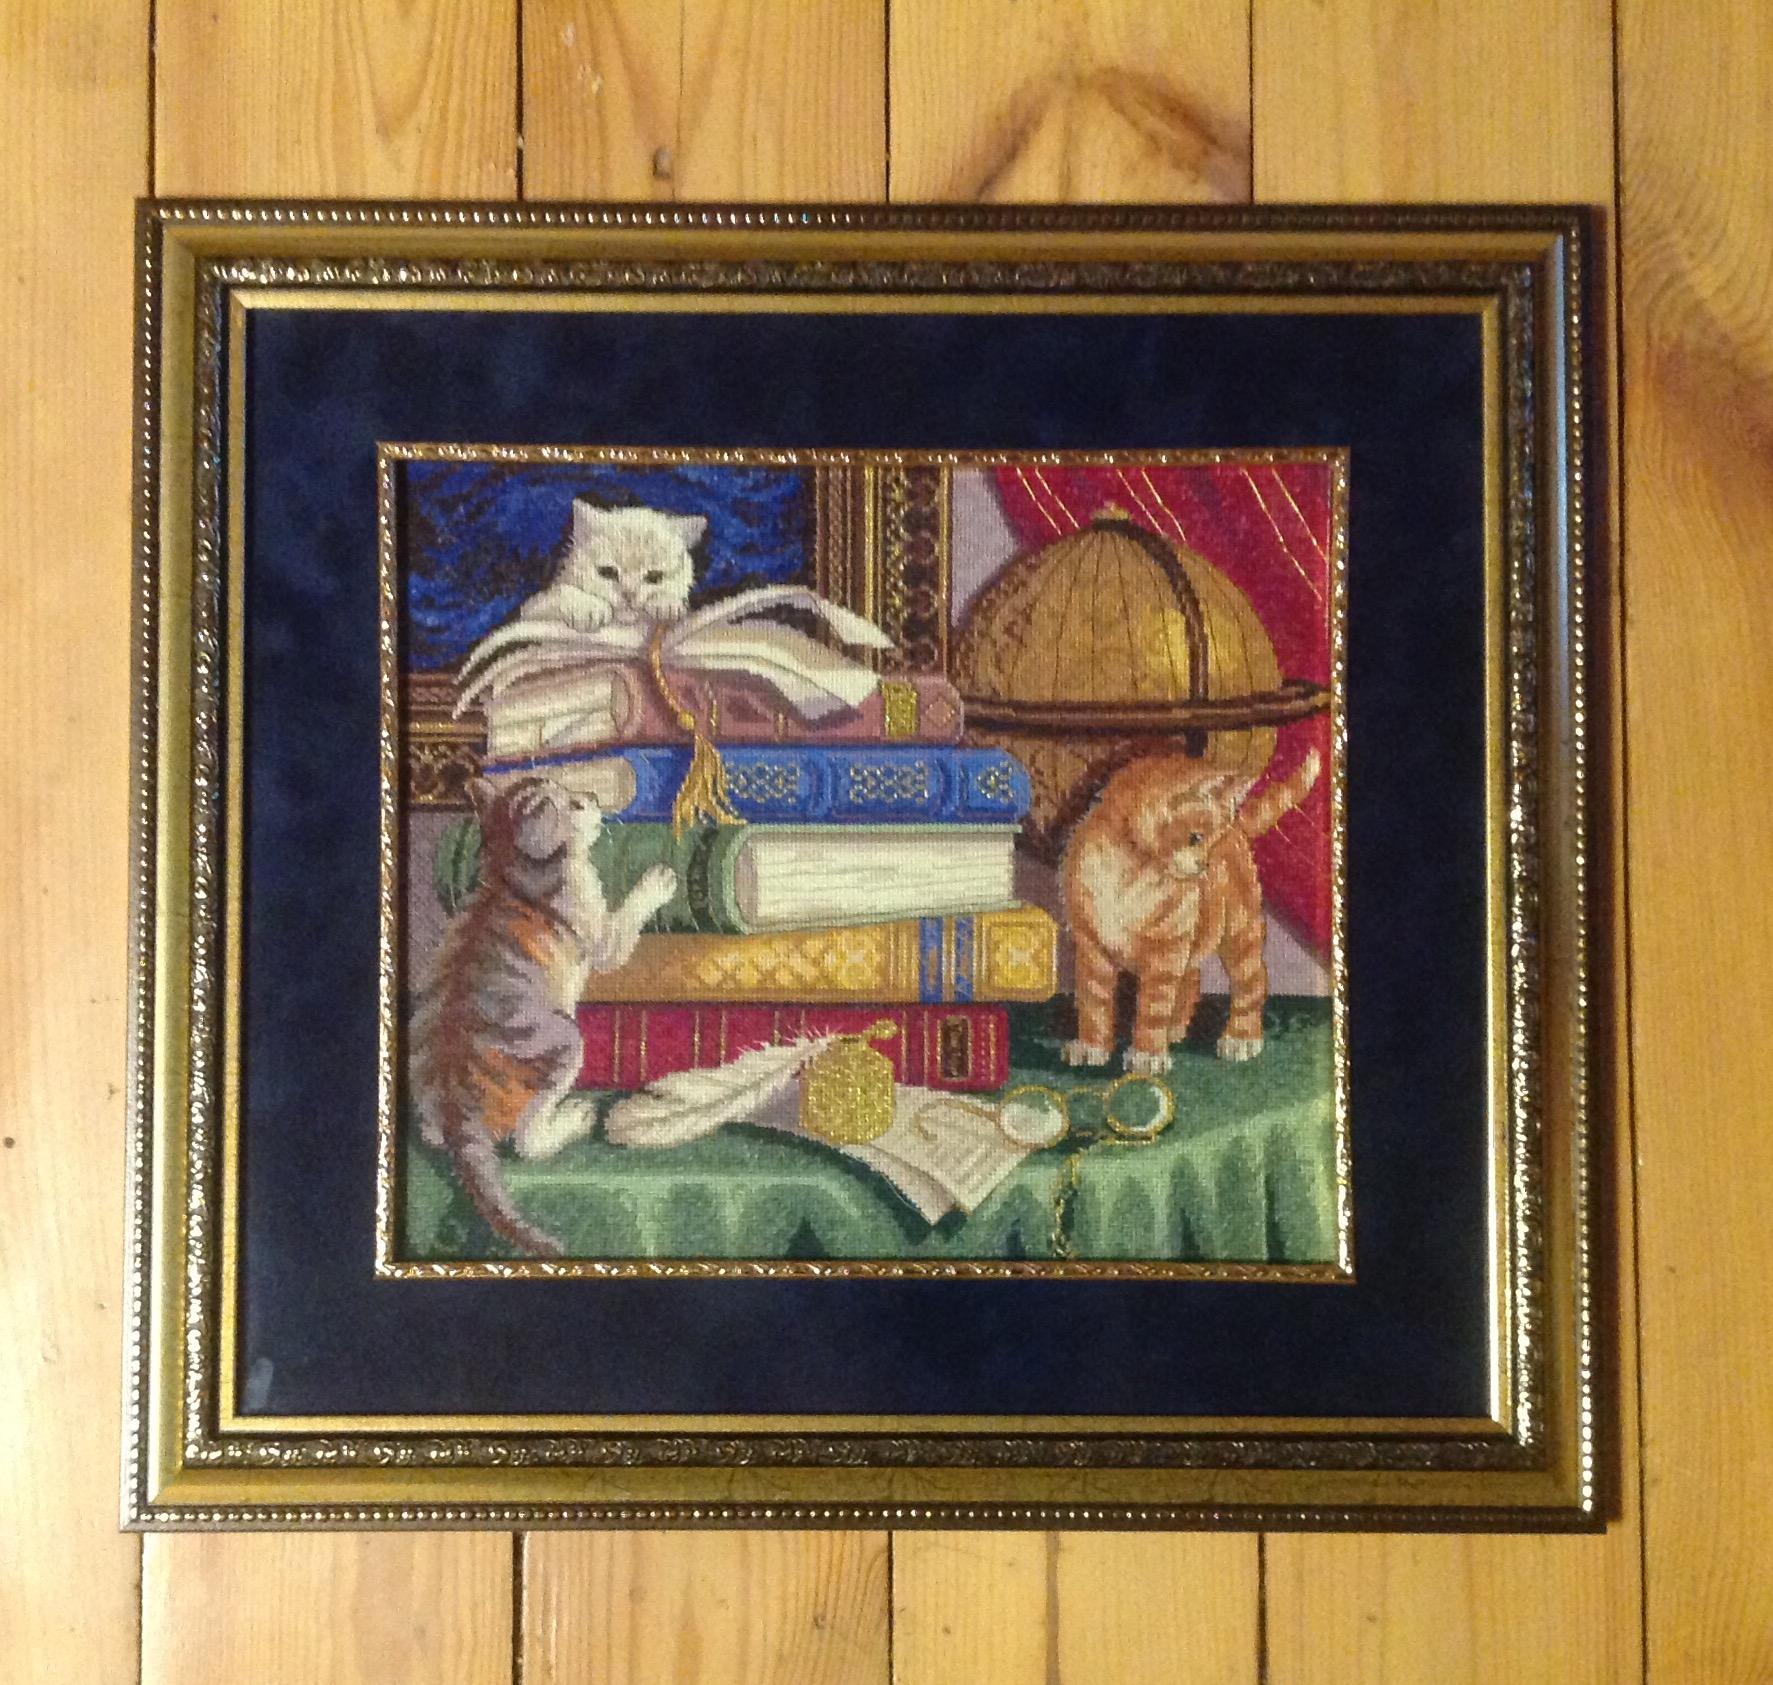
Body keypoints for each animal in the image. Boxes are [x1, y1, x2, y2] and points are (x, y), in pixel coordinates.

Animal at [409, 776, 677, 1257]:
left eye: (573, 791)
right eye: (573, 805)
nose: (592, 798)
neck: (511, 866)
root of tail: (458, 1110)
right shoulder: (597, 929)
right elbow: (617, 937)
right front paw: (656, 882)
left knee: (433, 1135)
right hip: (565, 1039)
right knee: (526, 1141)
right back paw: (572, 1120)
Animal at [519, 500, 705, 633]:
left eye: (655, 577)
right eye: (607, 572)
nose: (628, 595)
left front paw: (666, 602)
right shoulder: (529, 612)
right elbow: (559, 592)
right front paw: (587, 607)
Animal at [1061, 748, 1322, 1075]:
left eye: (1212, 842)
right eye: (1196, 838)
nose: (1205, 866)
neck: (1133, 872)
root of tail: (1239, 832)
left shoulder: (1166, 948)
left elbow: (1153, 1007)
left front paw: (1147, 1054)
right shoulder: (1091, 946)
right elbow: (1094, 1001)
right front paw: (1092, 1046)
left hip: (1239, 931)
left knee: (1253, 979)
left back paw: (1241, 1037)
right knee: (1192, 977)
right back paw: (1175, 1028)